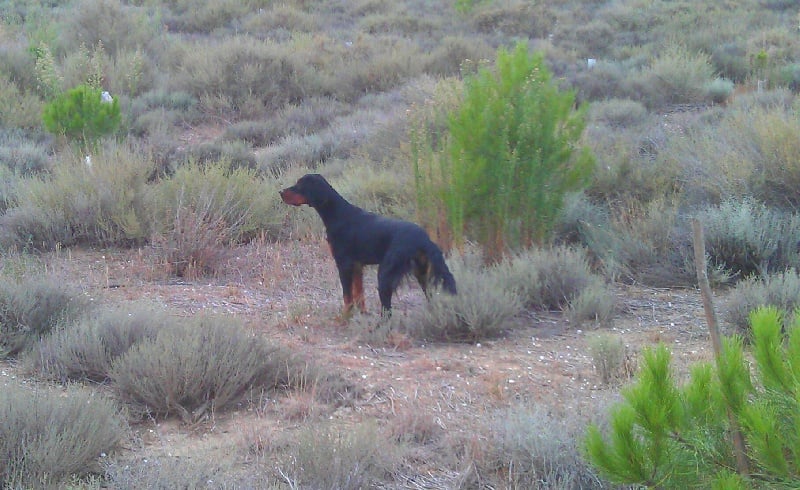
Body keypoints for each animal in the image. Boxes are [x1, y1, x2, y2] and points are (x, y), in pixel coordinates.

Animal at [282, 174, 456, 316]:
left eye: (299, 185)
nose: (280, 192)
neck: (337, 214)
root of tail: (423, 238)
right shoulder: (357, 266)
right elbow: (359, 293)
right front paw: (362, 314)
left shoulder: (344, 264)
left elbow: (347, 296)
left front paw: (344, 318)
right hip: (422, 272)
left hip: (385, 273)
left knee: (387, 311)